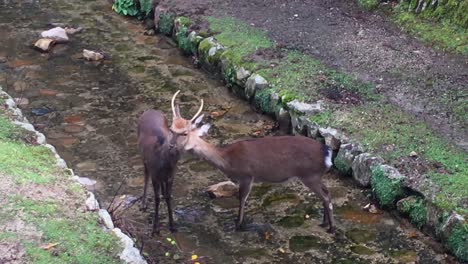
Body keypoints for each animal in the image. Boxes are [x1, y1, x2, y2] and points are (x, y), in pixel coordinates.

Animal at [138, 91, 206, 235]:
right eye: (171, 129)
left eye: (185, 133)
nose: (171, 145)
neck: (165, 164)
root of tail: (149, 110)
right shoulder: (155, 173)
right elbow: (157, 198)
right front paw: (155, 229)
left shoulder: (171, 175)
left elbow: (169, 197)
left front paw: (173, 226)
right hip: (143, 156)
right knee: (145, 174)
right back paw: (143, 203)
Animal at [170, 91, 334, 233]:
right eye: (171, 129)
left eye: (184, 133)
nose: (170, 145)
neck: (227, 160)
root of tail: (327, 152)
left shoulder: (247, 176)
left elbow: (242, 200)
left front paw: (238, 225)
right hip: (315, 176)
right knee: (326, 193)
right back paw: (324, 223)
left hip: (309, 175)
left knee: (326, 196)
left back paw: (331, 228)